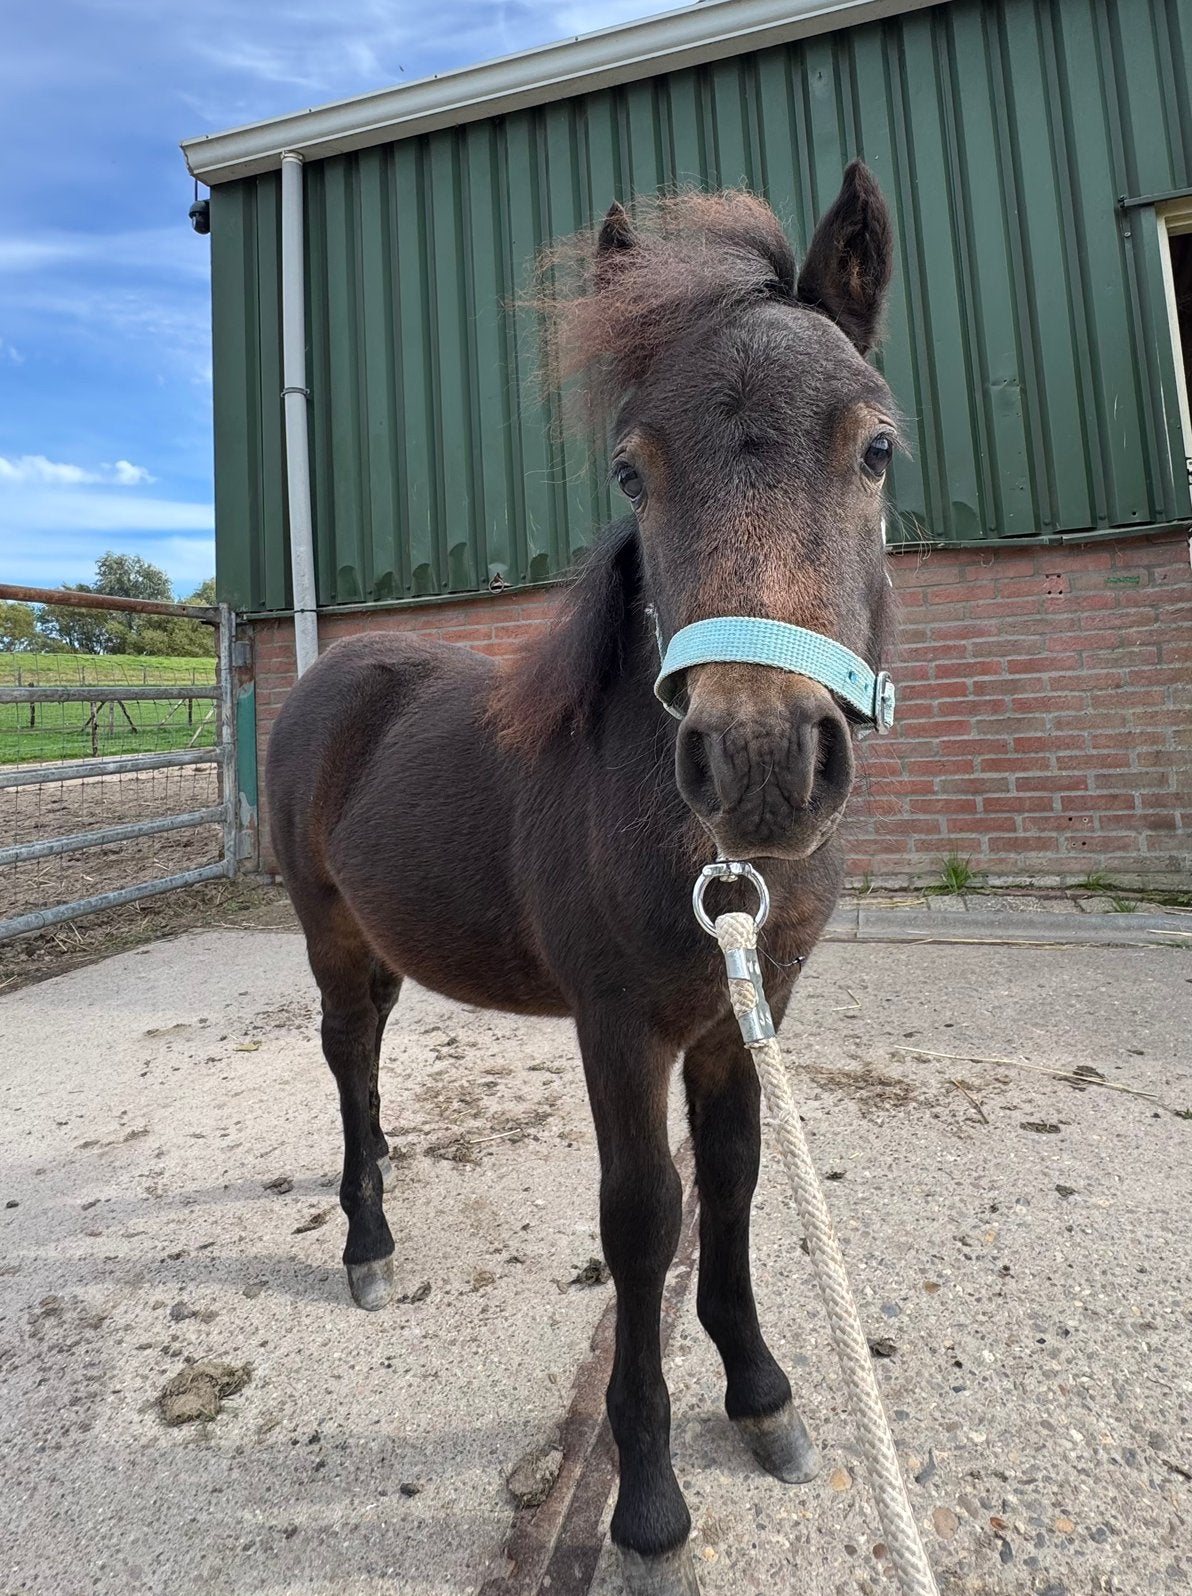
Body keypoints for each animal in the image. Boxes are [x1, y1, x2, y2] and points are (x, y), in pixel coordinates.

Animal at [266, 162, 897, 1596]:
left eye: (875, 446)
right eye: (630, 467)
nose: (761, 758)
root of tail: (334, 673)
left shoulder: (741, 1015)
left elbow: (734, 1185)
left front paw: (763, 1397)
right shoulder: (620, 1028)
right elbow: (643, 1221)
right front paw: (650, 1507)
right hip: (328, 936)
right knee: (347, 1059)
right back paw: (368, 1245)